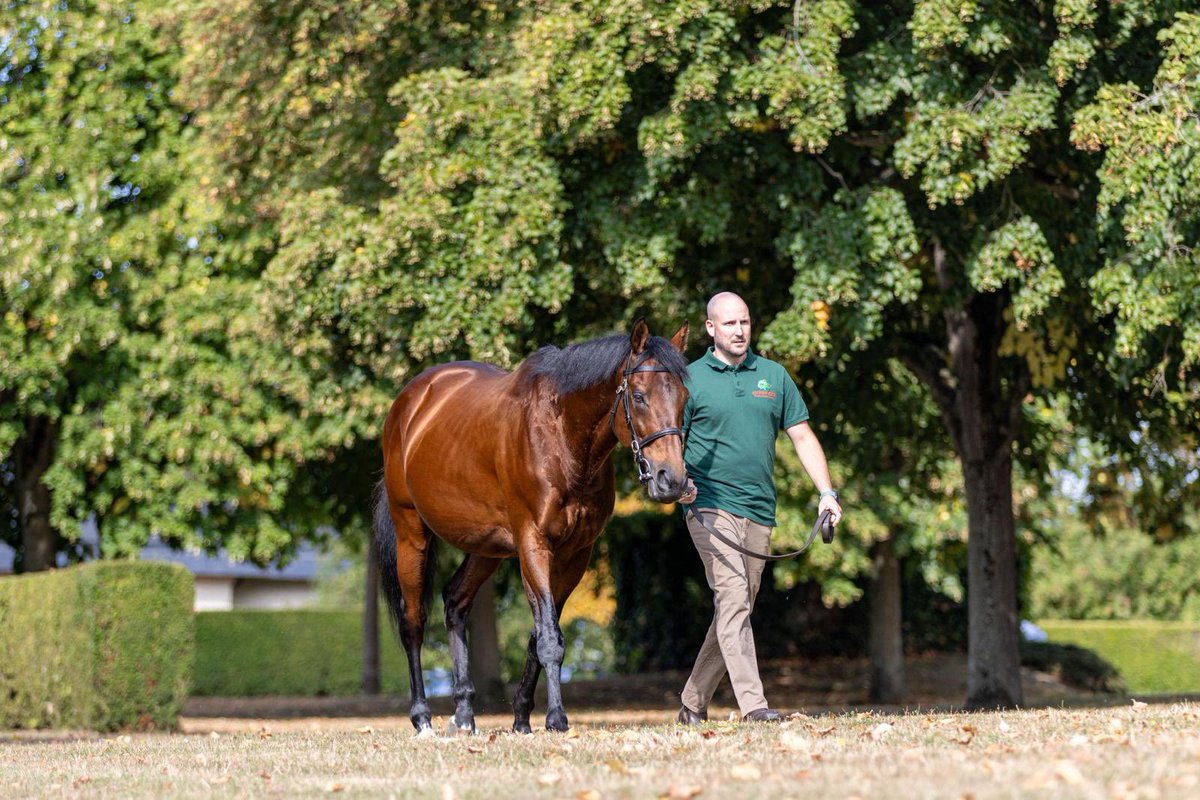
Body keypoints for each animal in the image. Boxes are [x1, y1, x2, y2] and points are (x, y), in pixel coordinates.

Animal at [372, 318, 690, 734]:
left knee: (455, 602)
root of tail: (408, 404)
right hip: (412, 534)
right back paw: (422, 717)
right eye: (638, 396)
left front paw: (522, 718)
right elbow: (549, 638)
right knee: (413, 621)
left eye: (684, 398)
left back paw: (464, 714)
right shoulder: (533, 544)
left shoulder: (575, 554)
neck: (562, 438)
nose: (673, 480)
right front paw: (556, 718)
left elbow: (540, 634)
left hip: (486, 547)